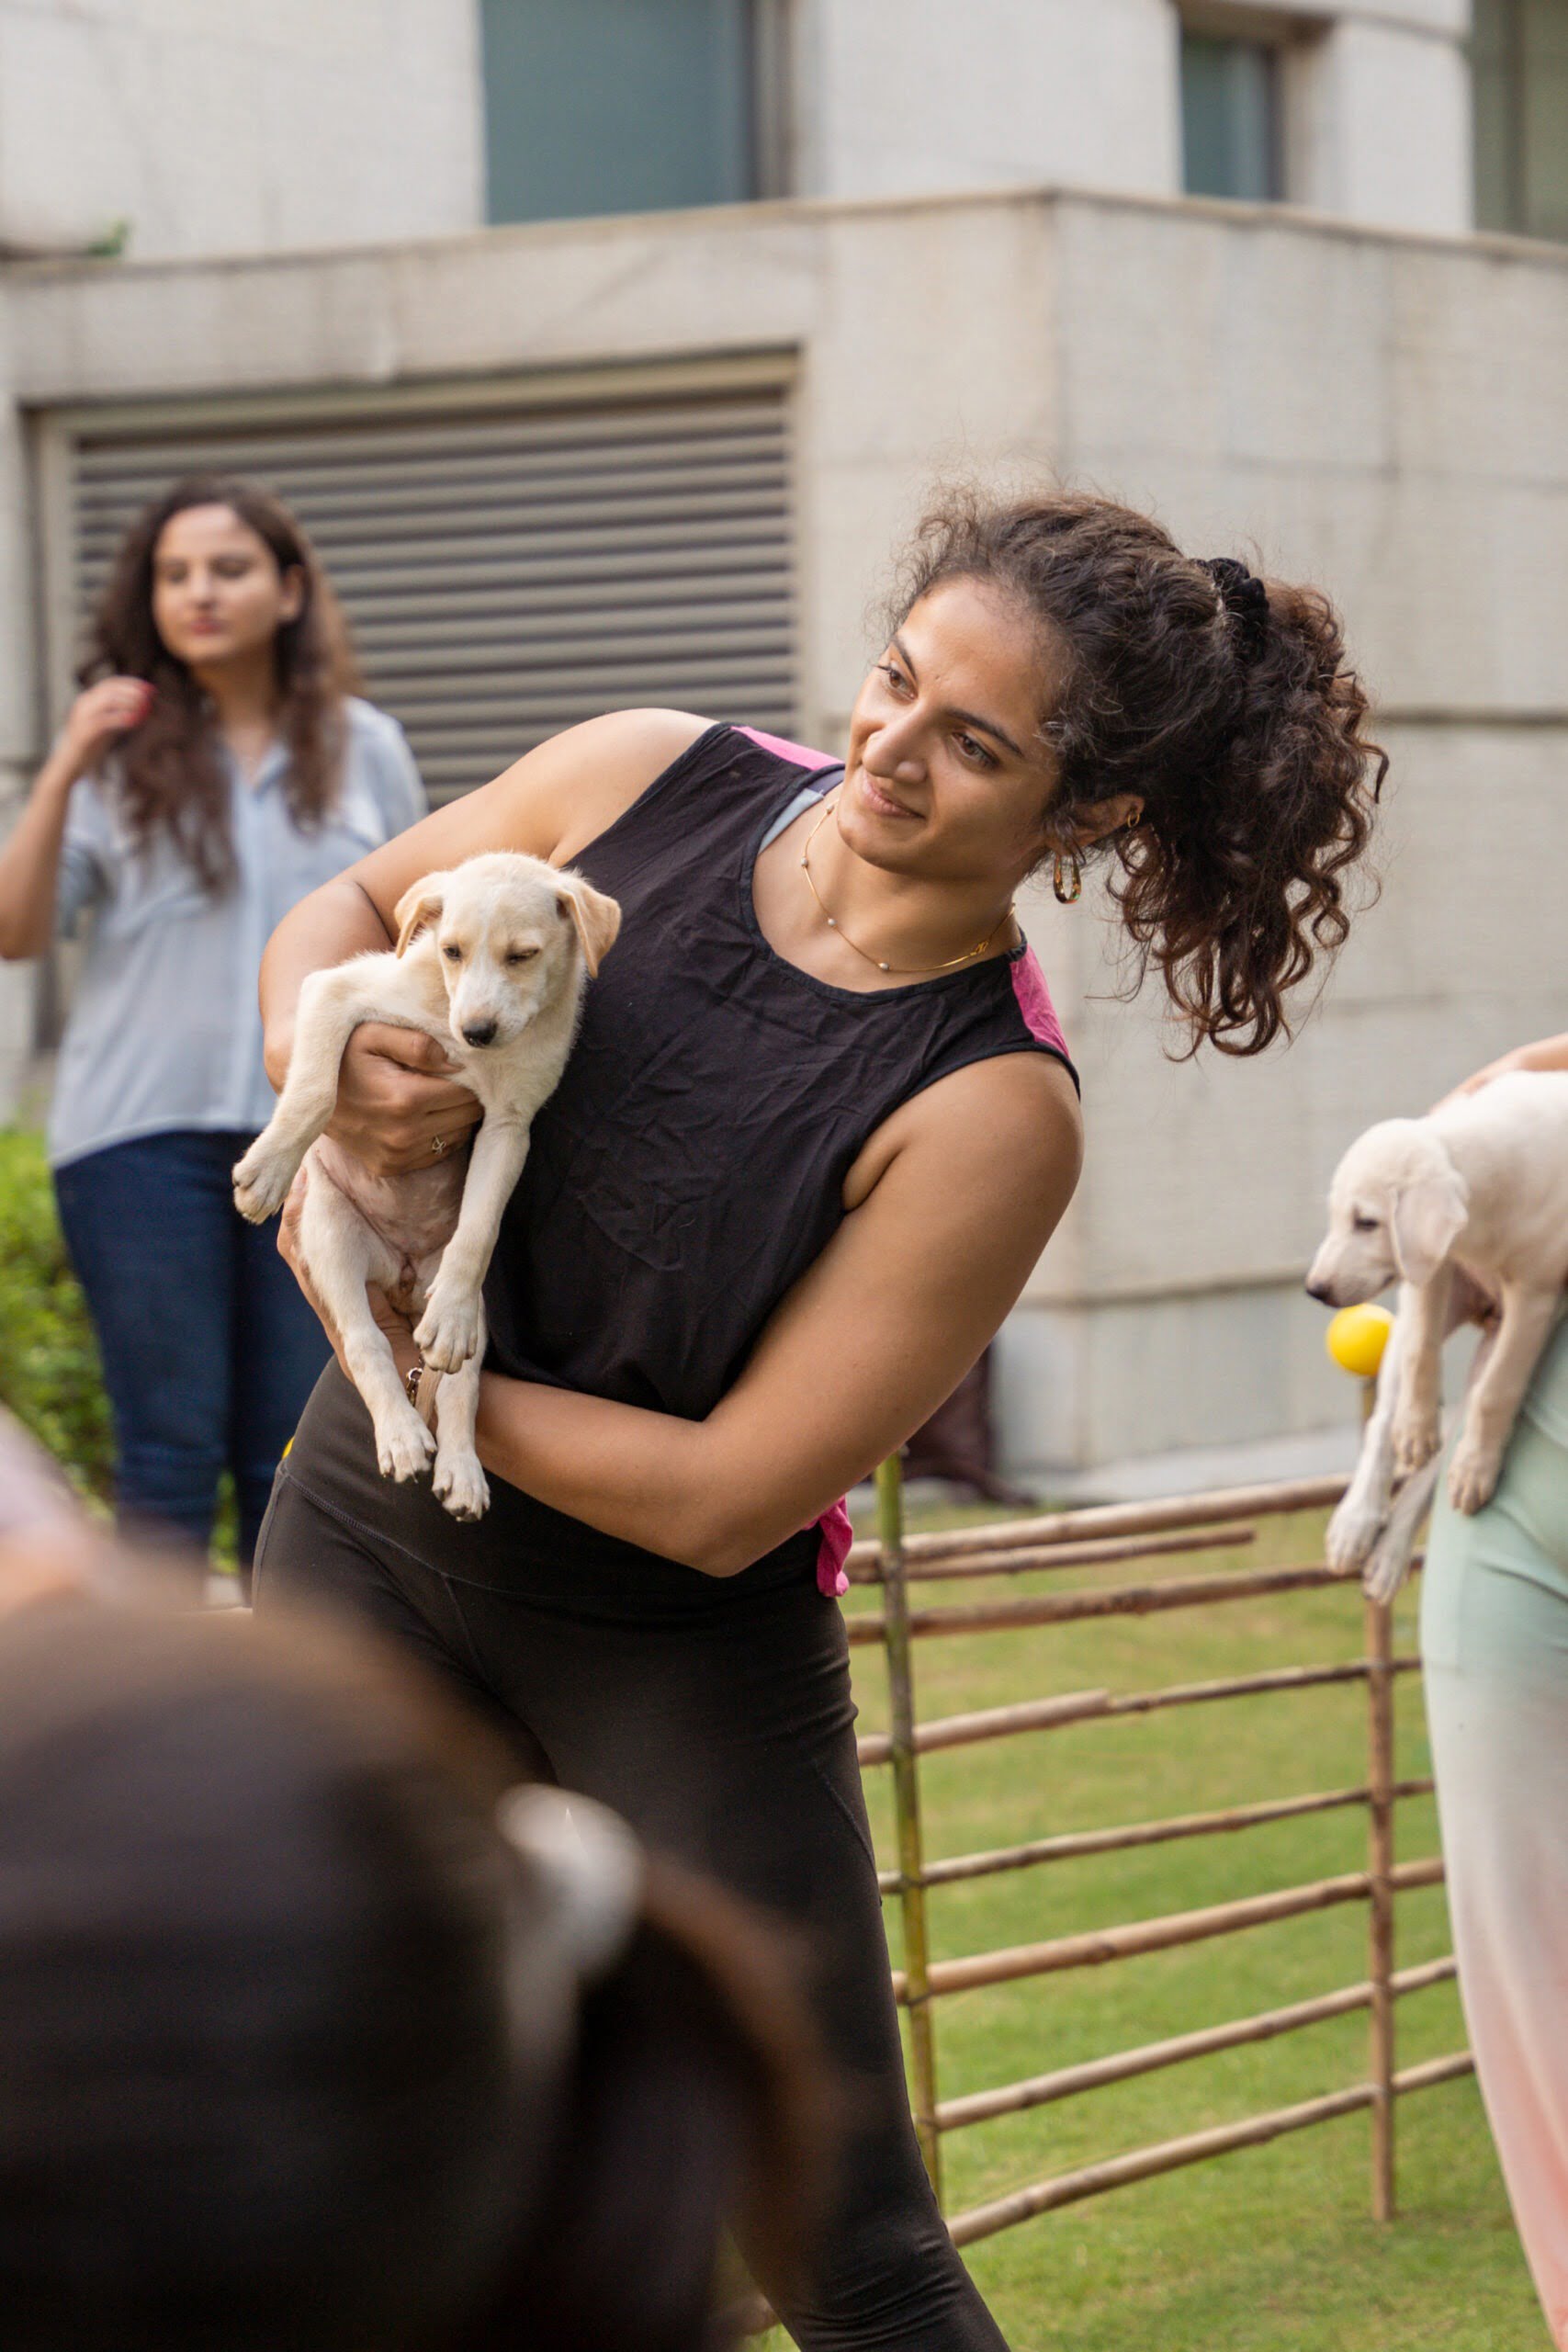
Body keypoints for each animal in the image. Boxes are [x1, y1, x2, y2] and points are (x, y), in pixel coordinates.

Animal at [232, 855, 620, 1514]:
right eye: (451, 951)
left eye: (523, 955)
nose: (477, 1031)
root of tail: (403, 1272)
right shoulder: (337, 991)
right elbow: (316, 1090)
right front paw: (268, 1169)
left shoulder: (509, 1126)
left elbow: (480, 1228)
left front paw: (452, 1317)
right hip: (331, 1236)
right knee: (365, 1343)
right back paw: (401, 1436)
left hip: (471, 1306)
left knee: (458, 1387)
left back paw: (460, 1469)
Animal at [1306, 1072, 1568, 1599]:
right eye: (1338, 1216)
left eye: (1367, 1222)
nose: (1315, 1289)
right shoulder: (1434, 1269)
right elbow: (1420, 1354)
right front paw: (1416, 1428)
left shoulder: (1536, 1297)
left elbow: (1498, 1392)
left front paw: (1473, 1468)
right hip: (1417, 1308)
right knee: (1383, 1417)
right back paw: (1356, 1523)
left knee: (1450, 1445)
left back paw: (1398, 1544)